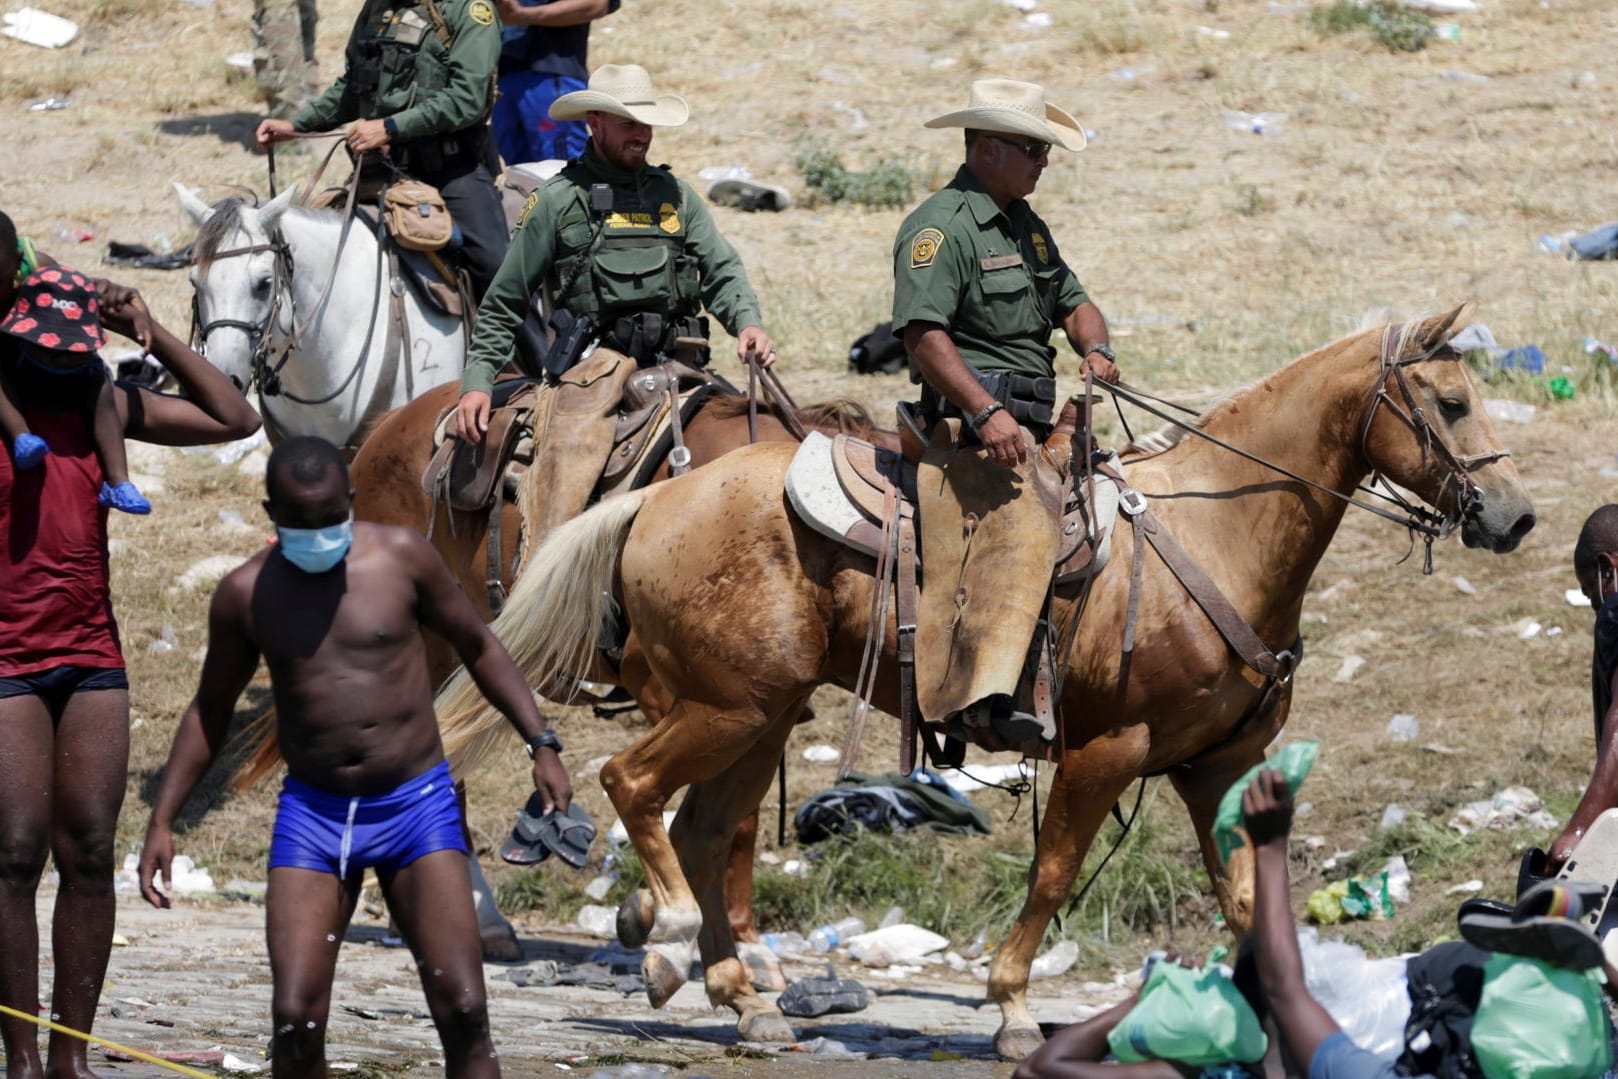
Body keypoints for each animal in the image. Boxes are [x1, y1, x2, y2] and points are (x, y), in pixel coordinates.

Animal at [427, 305, 1527, 1054]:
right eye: (1451, 401)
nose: (1513, 516)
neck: (1219, 528)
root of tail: (653, 497)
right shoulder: (1105, 750)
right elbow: (1052, 873)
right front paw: (1011, 1009)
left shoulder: (1216, 766)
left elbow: (1249, 901)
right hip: (725, 706)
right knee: (635, 788)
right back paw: (663, 941)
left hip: (760, 712)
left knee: (703, 827)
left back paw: (743, 998)